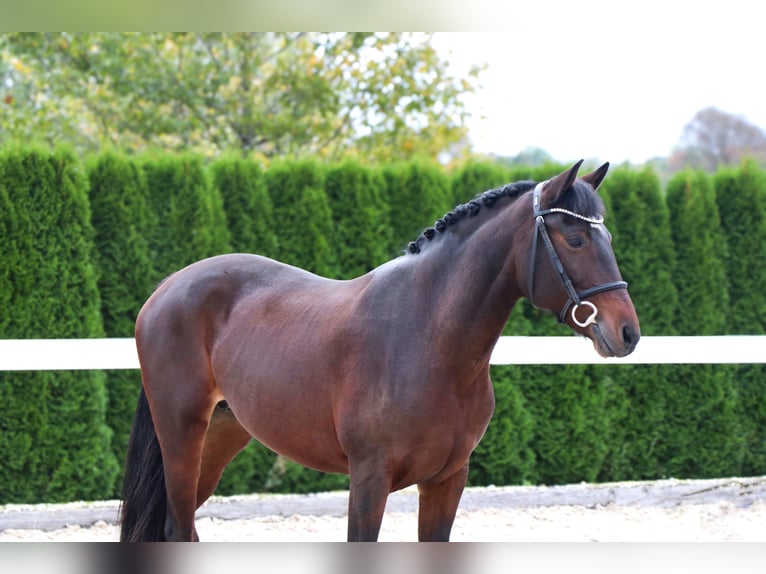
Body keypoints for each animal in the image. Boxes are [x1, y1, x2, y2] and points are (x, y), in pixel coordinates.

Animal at [118, 160, 640, 544]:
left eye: (609, 238)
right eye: (575, 238)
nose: (627, 332)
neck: (428, 340)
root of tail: (167, 287)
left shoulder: (447, 480)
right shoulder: (368, 480)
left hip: (221, 435)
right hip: (181, 434)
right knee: (177, 530)